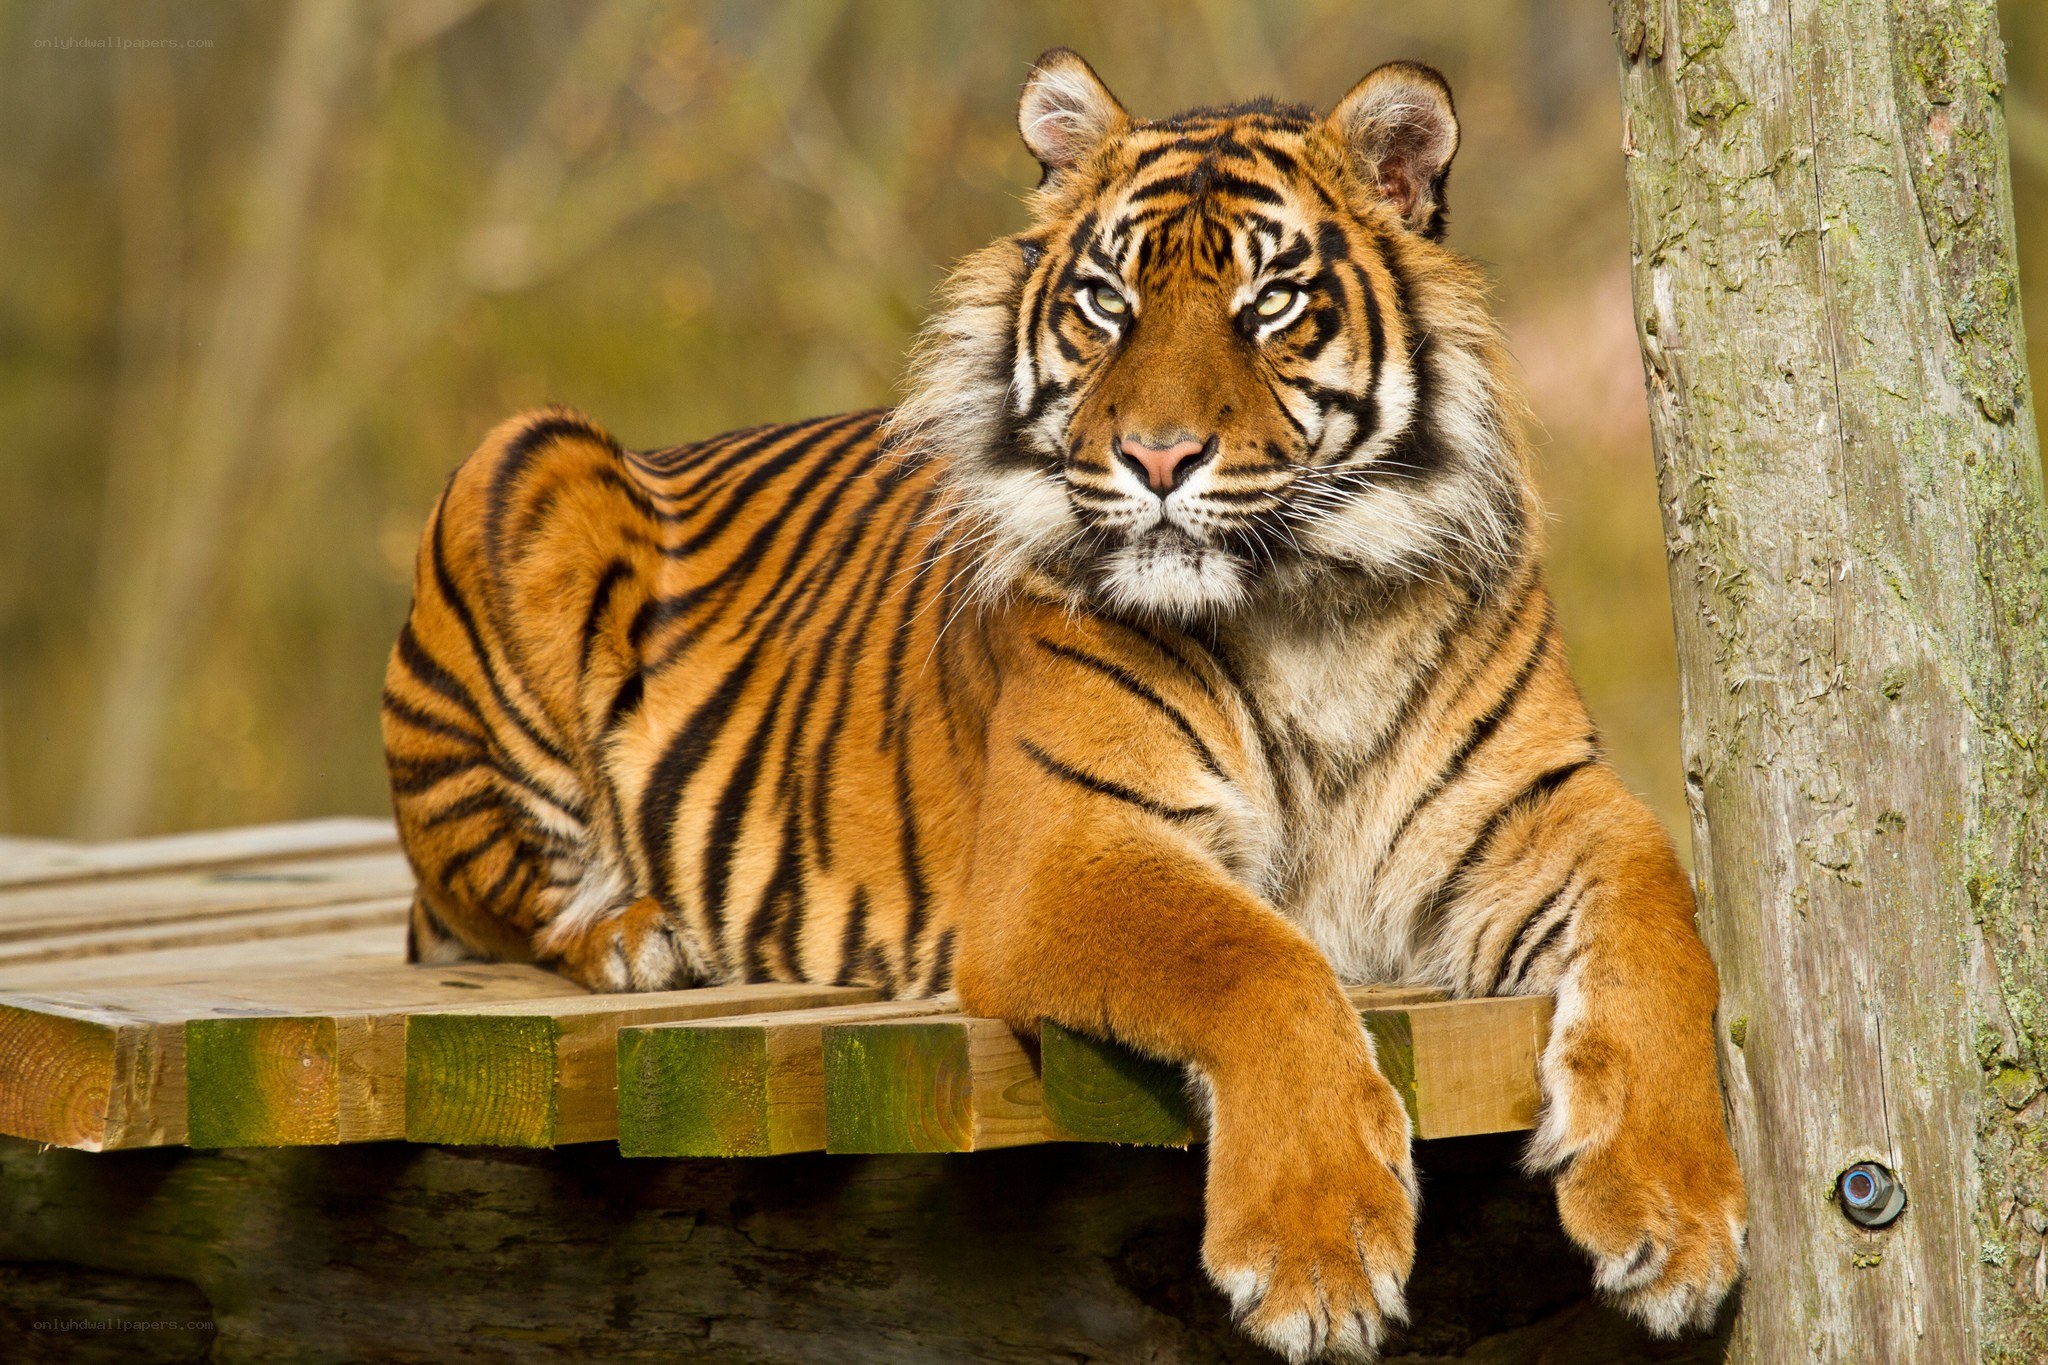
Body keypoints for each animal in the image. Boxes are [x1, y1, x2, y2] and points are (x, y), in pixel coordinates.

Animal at [382, 49, 1745, 1362]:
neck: (1306, 609)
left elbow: (1660, 917)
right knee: (498, 894)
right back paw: (636, 936)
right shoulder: (1067, 849)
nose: (1155, 457)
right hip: (523, 458)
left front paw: (1671, 1214)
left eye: (1269, 303)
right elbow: (1257, 958)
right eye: (1106, 303)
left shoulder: (1535, 803)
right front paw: (1315, 1254)